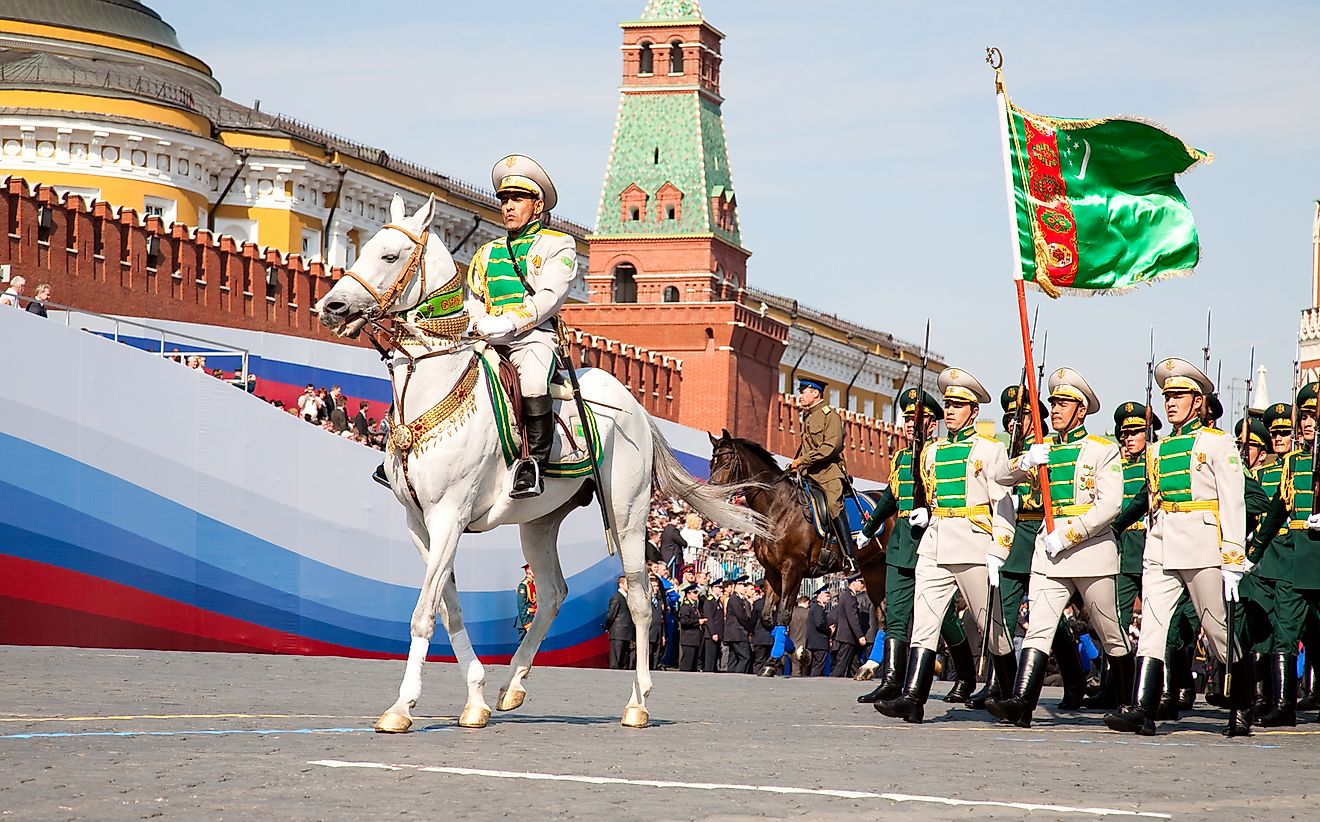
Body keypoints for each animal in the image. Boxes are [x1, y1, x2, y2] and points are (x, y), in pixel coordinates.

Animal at [314, 196, 770, 728]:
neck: (435, 388)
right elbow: (448, 607)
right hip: (539, 521)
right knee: (553, 593)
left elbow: (424, 611)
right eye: (363, 246)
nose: (331, 307)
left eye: (389, 256)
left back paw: (637, 702)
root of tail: (634, 407)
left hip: (629, 517)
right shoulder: (419, 523)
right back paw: (513, 685)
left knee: (639, 601)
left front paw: (401, 706)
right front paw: (475, 698)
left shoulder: (449, 516)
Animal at [707, 435, 892, 633]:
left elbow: (783, 616)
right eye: (711, 463)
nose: (711, 494)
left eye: (726, 464)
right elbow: (767, 618)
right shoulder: (772, 572)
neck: (778, 508)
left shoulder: (793, 570)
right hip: (873, 569)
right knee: (883, 615)